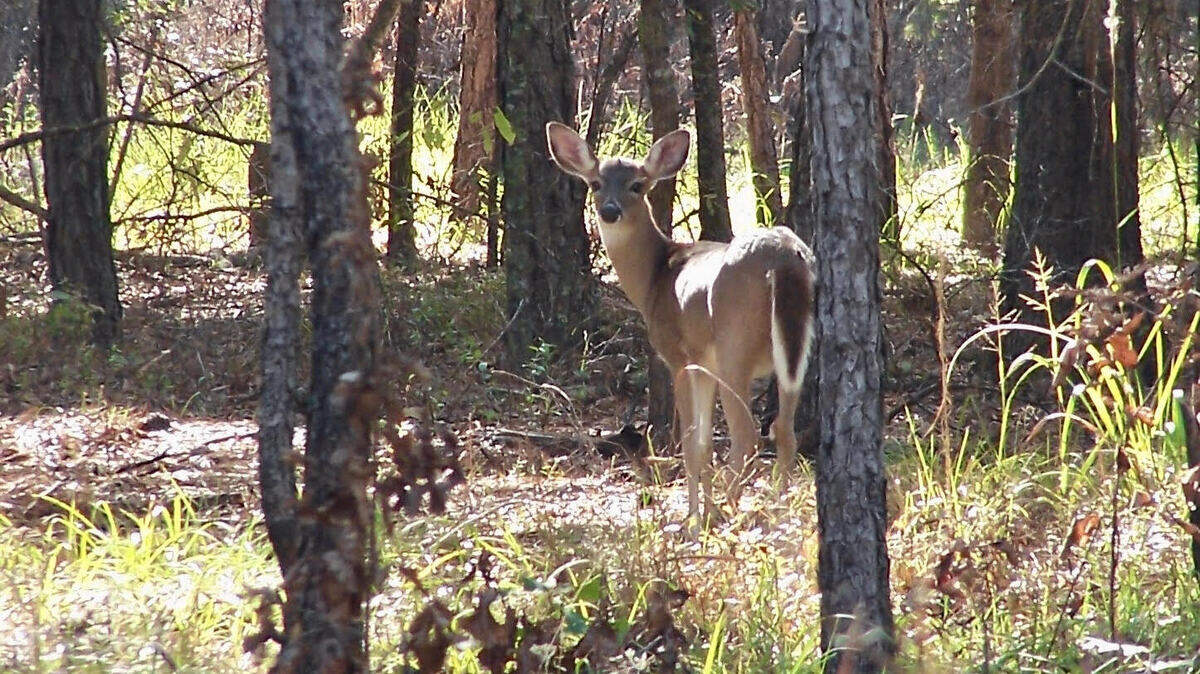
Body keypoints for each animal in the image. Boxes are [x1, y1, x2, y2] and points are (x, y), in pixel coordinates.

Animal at [545, 122, 816, 524]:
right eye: (595, 183)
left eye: (637, 185)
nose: (609, 211)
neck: (654, 276)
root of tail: (784, 257)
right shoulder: (705, 365)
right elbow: (703, 442)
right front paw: (701, 511)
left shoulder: (680, 357)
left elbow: (691, 443)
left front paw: (692, 519)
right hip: (797, 344)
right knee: (783, 429)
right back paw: (776, 509)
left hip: (735, 344)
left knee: (748, 436)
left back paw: (729, 511)